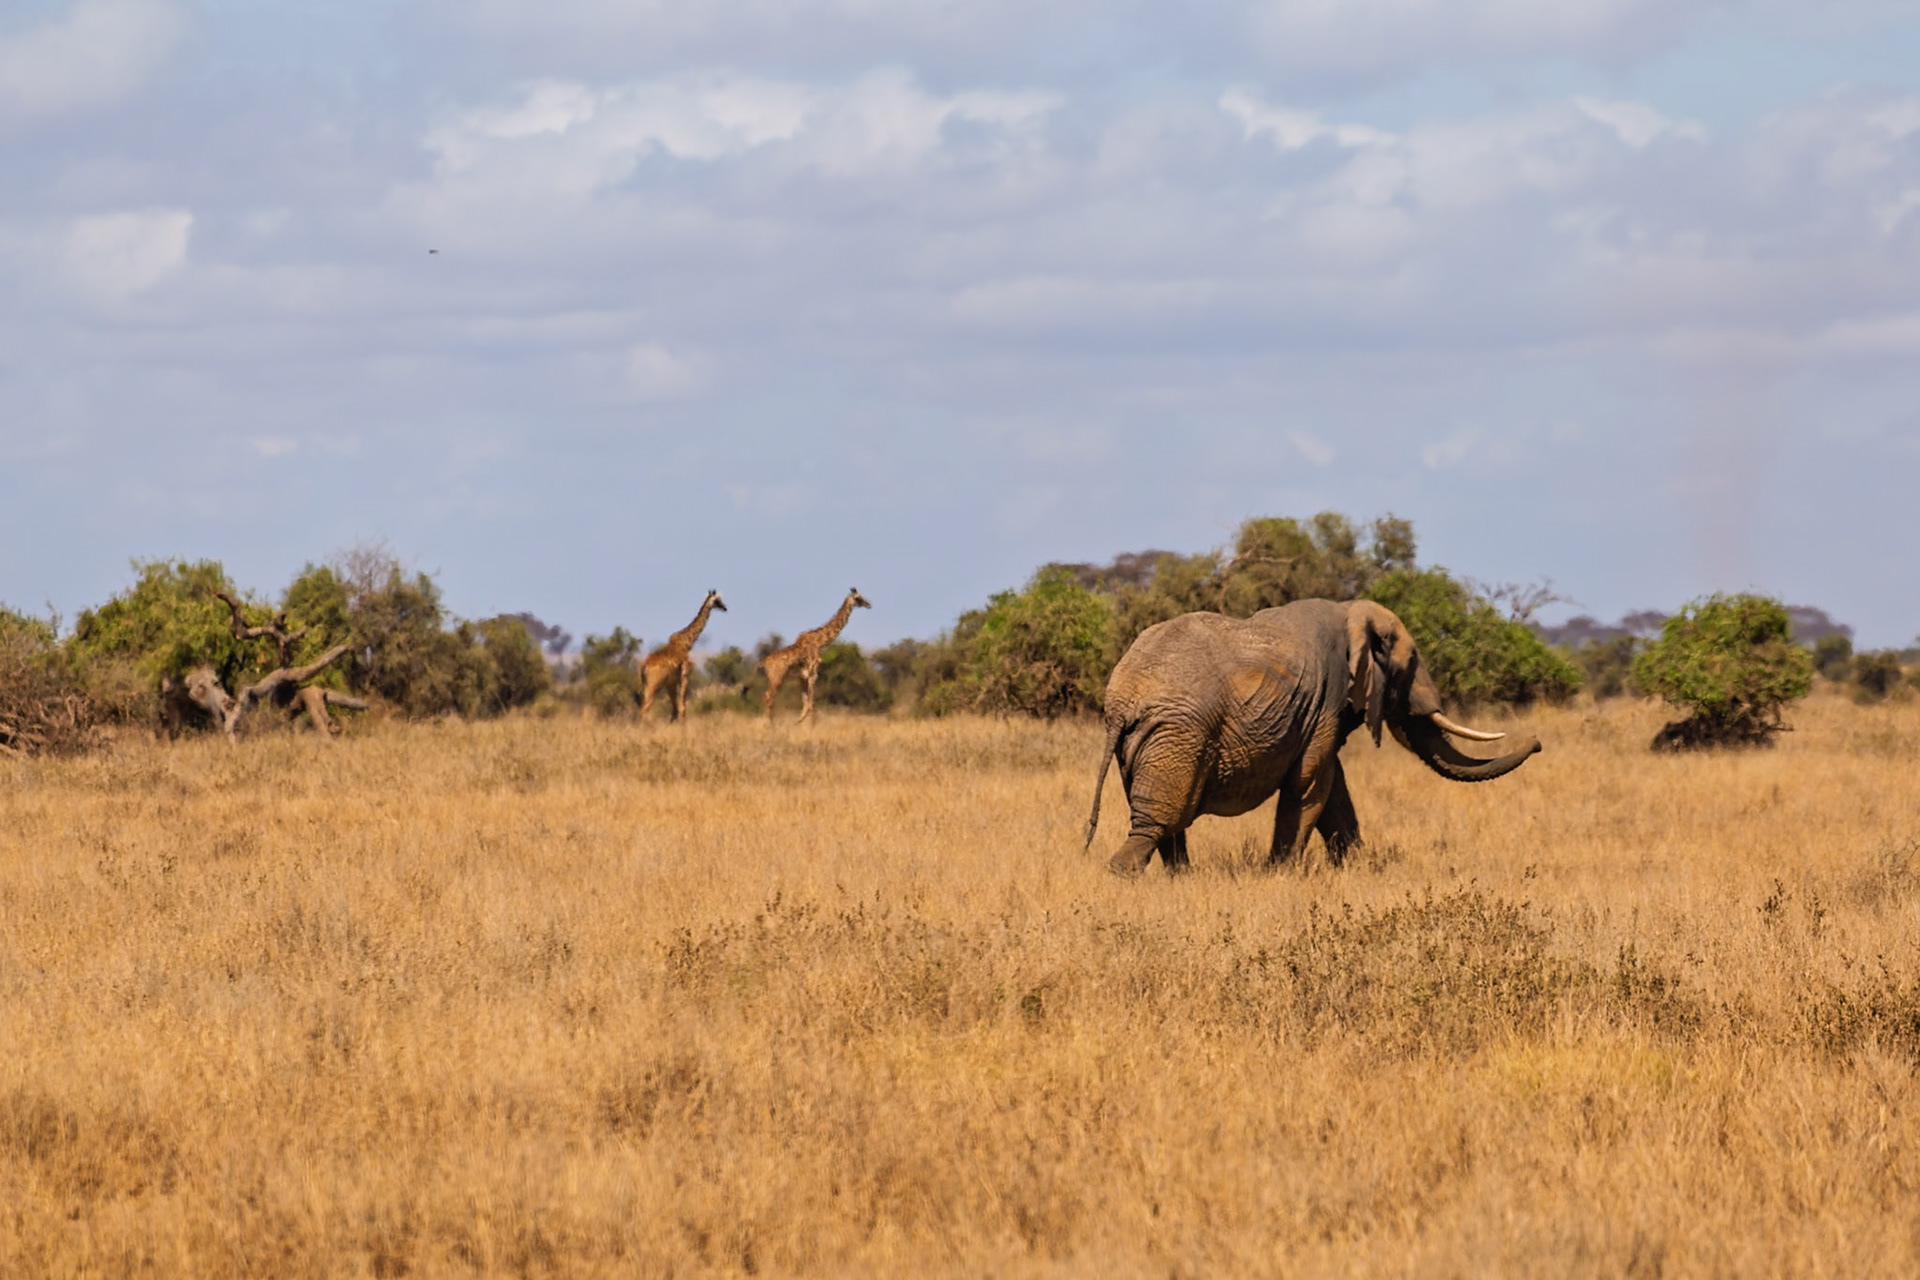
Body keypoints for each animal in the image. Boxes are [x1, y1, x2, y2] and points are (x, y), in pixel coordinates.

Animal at [638, 589, 727, 724]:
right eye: (717, 600)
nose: (725, 608)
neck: (687, 643)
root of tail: (644, 667)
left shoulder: (671, 682)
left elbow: (674, 710)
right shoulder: (685, 675)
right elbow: (682, 708)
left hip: (646, 685)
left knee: (643, 707)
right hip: (655, 684)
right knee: (645, 708)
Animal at [759, 588, 871, 723]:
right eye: (858, 598)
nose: (868, 604)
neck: (820, 643)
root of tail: (764, 663)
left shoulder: (803, 678)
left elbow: (806, 704)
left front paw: (799, 723)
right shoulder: (813, 674)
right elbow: (812, 705)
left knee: (768, 698)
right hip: (777, 677)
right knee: (768, 697)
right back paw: (767, 724)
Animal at [1083, 598, 1541, 875]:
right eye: (1410, 663)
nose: (1537, 742)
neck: (1350, 611)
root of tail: (1121, 699)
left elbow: (1333, 789)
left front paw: (1357, 870)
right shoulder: (1327, 701)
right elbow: (1310, 784)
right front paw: (1279, 874)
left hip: (1151, 740)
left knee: (1167, 821)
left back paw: (1181, 879)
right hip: (1178, 734)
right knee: (1158, 822)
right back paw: (1123, 876)